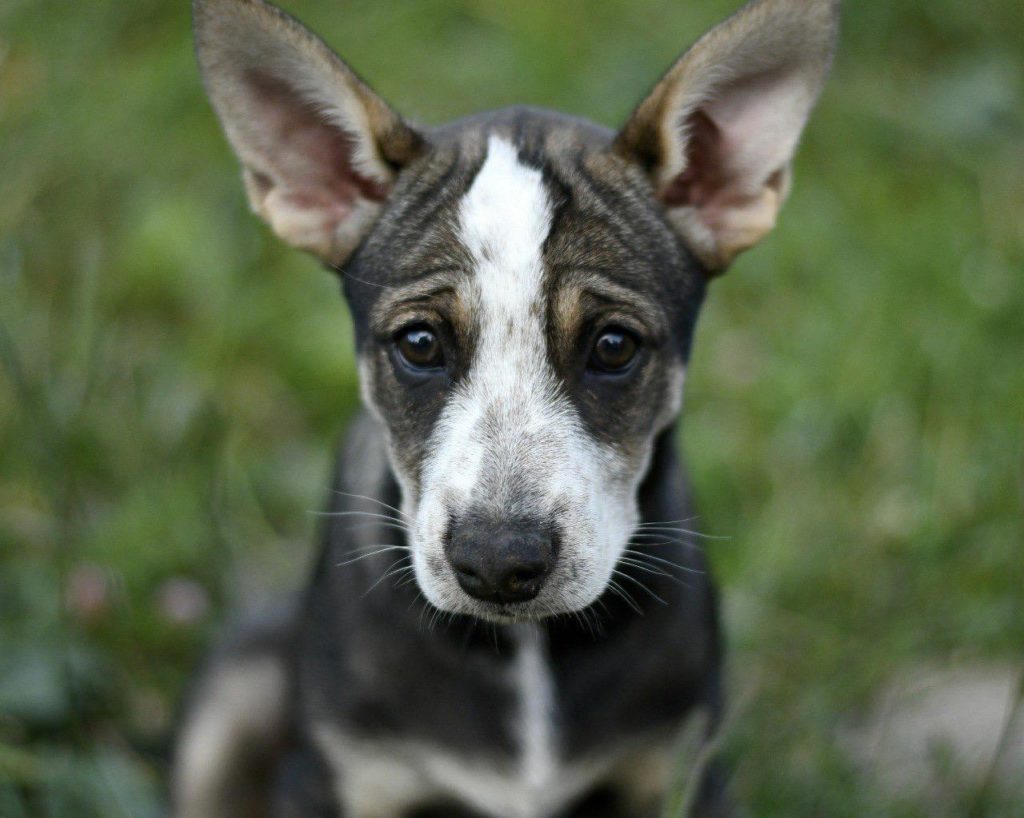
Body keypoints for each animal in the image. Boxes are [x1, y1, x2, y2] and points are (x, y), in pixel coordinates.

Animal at [172, 0, 835, 814]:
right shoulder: (343, 775)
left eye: (614, 346)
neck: (524, 651)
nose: (496, 565)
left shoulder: (678, 767)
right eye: (420, 342)